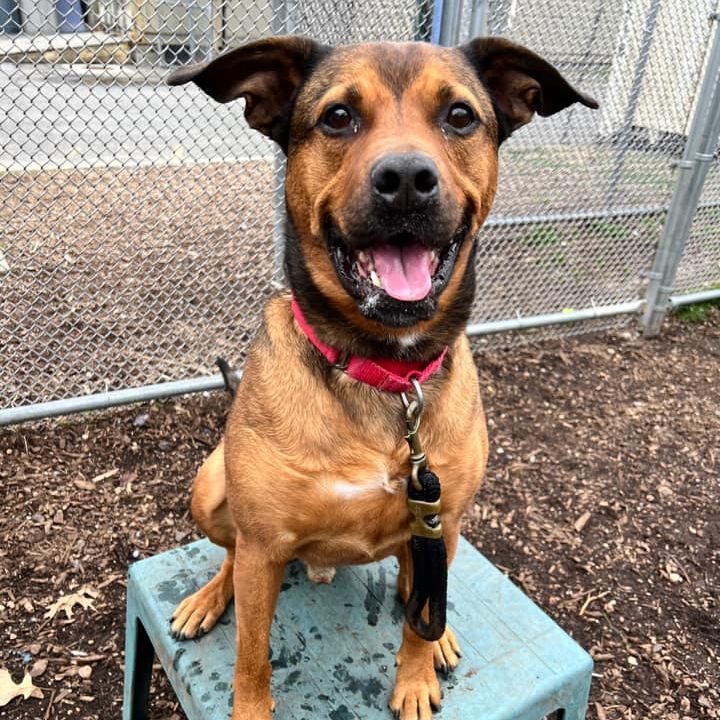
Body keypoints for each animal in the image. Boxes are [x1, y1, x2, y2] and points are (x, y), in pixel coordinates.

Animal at [167, 35, 596, 720]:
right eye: (338, 116)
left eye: (460, 116)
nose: (406, 182)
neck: (386, 370)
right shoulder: (263, 545)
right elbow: (251, 656)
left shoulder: (443, 516)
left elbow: (416, 619)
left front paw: (416, 675)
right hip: (210, 490)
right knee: (230, 555)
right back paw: (210, 596)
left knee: (418, 579)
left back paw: (435, 626)